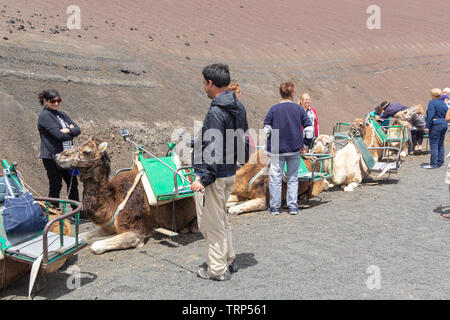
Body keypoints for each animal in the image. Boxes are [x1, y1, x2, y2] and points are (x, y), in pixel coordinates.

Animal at [54, 138, 197, 255]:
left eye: (87, 151)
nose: (58, 156)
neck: (113, 202)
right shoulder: (109, 226)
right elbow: (82, 236)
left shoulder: (135, 231)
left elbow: (96, 245)